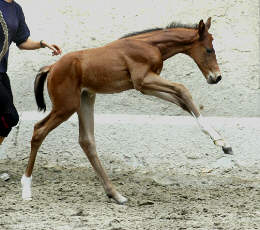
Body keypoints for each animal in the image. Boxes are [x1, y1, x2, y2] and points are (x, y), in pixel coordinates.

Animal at [21, 18, 234, 205]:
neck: (150, 45)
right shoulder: (143, 80)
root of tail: (52, 67)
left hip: (85, 99)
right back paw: (26, 189)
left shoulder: (145, 86)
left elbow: (182, 100)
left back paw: (116, 195)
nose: (216, 77)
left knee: (86, 141)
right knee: (39, 130)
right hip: (66, 106)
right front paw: (220, 141)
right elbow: (183, 89)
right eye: (209, 49)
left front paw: (224, 144)